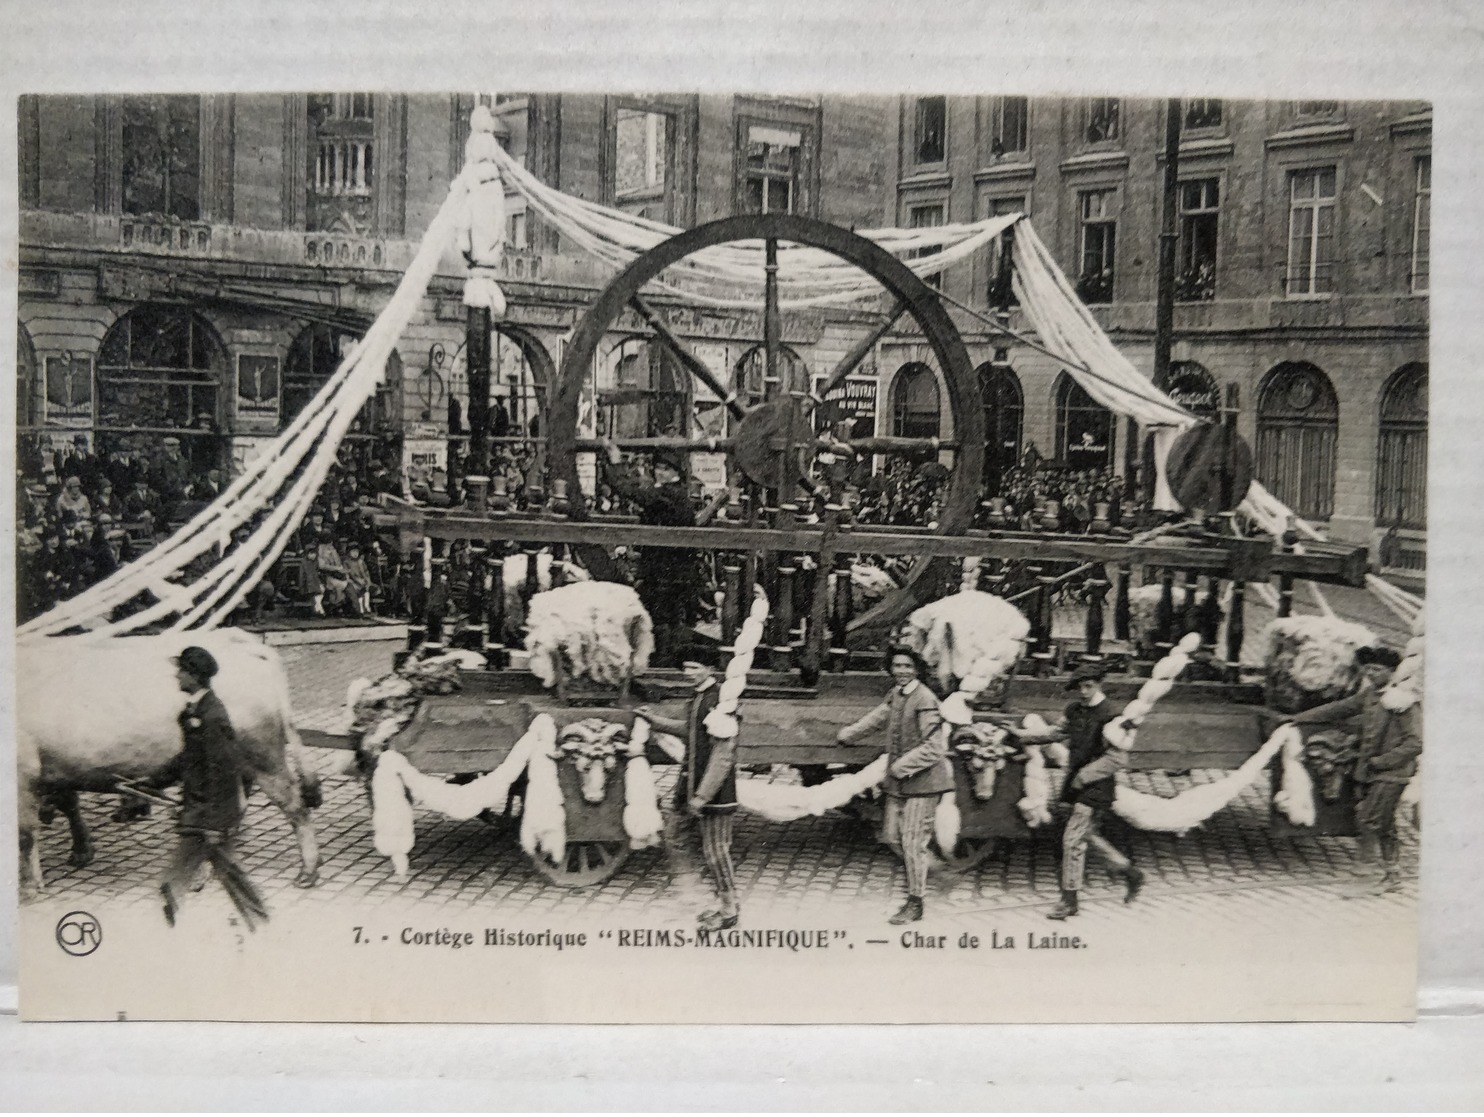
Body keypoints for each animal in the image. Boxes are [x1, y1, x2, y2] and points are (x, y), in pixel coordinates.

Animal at [16, 631, 322, 895]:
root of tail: (244, 643)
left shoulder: (24, 774)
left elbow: (25, 834)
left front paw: (30, 888)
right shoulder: (53, 767)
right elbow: (68, 803)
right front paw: (81, 852)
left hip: (263, 756)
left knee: (295, 805)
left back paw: (307, 872)